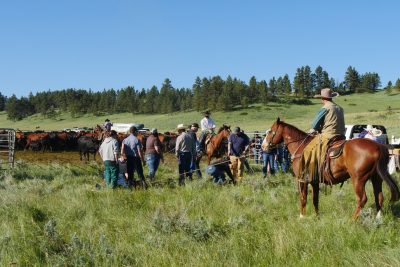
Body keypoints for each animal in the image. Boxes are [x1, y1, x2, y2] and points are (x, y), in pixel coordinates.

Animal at [264, 118, 398, 219]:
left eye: (270, 131)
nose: (263, 146)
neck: (301, 147)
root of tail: (378, 146)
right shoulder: (314, 181)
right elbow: (315, 199)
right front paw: (316, 216)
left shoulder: (302, 180)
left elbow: (303, 198)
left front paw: (302, 217)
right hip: (376, 178)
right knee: (379, 197)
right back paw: (378, 218)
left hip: (358, 180)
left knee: (362, 199)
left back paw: (352, 220)